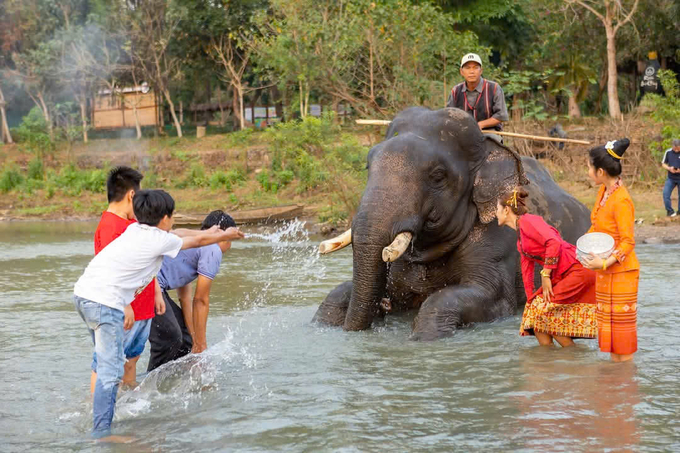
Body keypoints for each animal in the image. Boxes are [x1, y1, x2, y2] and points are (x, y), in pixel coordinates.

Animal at [312, 106, 588, 340]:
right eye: (368, 166)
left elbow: (488, 296)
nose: (383, 307)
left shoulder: (500, 243)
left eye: (437, 176)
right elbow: (340, 294)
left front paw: (423, 337)